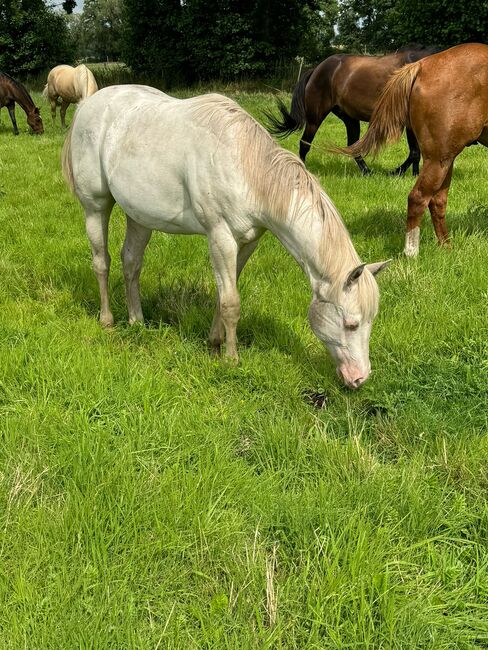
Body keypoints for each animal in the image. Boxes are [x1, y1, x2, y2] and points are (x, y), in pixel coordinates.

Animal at [62, 87, 388, 390]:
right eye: (351, 324)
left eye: (370, 321)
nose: (359, 378)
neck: (246, 167)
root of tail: (87, 104)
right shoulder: (220, 237)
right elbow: (231, 302)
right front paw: (231, 359)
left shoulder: (247, 243)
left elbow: (224, 295)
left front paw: (214, 342)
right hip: (96, 206)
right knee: (101, 262)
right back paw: (107, 321)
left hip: (139, 216)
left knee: (131, 263)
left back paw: (137, 321)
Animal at [264, 44, 440, 176]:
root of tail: (316, 69)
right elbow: (415, 152)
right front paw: (399, 172)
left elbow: (416, 152)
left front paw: (410, 174)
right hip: (315, 118)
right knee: (305, 143)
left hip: (350, 118)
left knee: (353, 145)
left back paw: (367, 172)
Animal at [338, 42, 488, 256]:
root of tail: (422, 66)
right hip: (439, 159)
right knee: (418, 198)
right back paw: (411, 253)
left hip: (445, 159)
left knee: (437, 201)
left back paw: (446, 247)